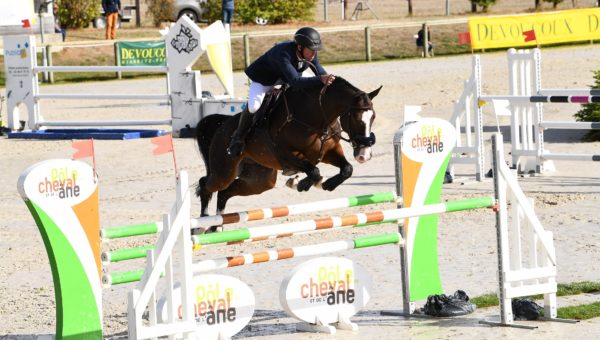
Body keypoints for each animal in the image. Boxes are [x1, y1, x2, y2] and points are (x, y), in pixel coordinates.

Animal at [198, 76, 384, 231]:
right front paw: (302, 184)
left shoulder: (329, 152)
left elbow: (347, 169)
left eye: (373, 117)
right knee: (206, 185)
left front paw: (326, 184)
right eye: (356, 118)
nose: (364, 154)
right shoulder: (288, 155)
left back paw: (216, 226)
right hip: (224, 171)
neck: (315, 116)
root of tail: (222, 125)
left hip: (259, 181)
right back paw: (201, 224)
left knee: (225, 193)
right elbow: (314, 171)